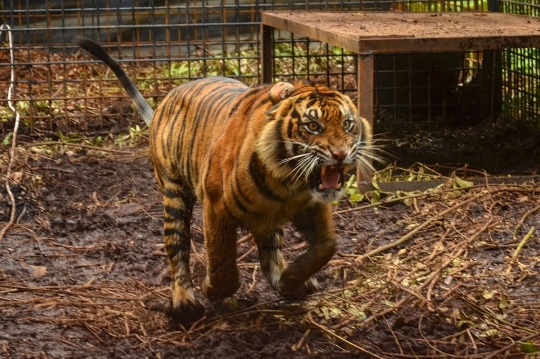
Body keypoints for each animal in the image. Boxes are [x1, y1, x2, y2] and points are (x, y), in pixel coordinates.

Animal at [77, 36, 376, 326]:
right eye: (313, 127)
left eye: (348, 124)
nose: (340, 154)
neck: (288, 183)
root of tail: (166, 100)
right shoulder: (216, 206)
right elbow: (223, 264)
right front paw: (210, 287)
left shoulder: (310, 205)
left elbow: (326, 246)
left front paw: (292, 280)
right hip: (174, 195)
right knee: (177, 248)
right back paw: (184, 303)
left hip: (264, 218)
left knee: (270, 249)